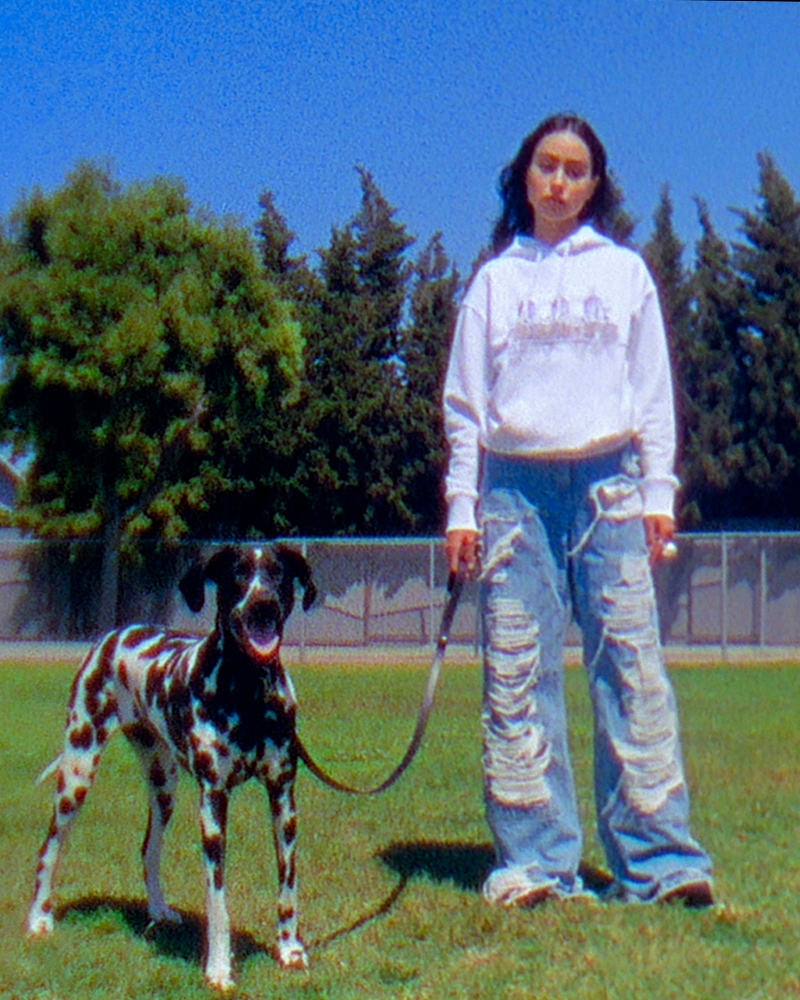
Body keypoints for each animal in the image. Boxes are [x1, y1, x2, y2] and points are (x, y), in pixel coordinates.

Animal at [27, 544, 317, 991]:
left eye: (279, 573)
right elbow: (218, 902)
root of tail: (115, 635)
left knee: (148, 849)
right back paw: (39, 919)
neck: (249, 693)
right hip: (77, 771)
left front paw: (290, 950)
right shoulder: (214, 804)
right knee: (49, 849)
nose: (263, 604)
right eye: (237, 573)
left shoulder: (283, 799)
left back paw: (158, 910)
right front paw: (219, 968)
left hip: (164, 788)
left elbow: (288, 887)